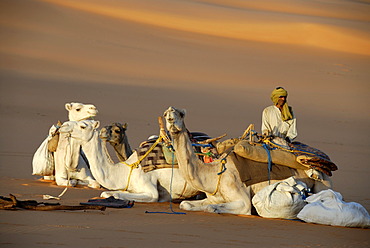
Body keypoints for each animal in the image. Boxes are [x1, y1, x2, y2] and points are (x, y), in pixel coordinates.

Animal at [58, 120, 202, 203]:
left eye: (83, 126)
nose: (63, 126)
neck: (127, 169)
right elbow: (106, 193)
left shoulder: (150, 190)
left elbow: (115, 194)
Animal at [163, 106, 332, 215]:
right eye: (165, 114)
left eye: (181, 114)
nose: (171, 119)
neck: (214, 175)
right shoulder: (213, 197)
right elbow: (185, 204)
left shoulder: (242, 200)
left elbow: (214, 208)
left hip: (322, 183)